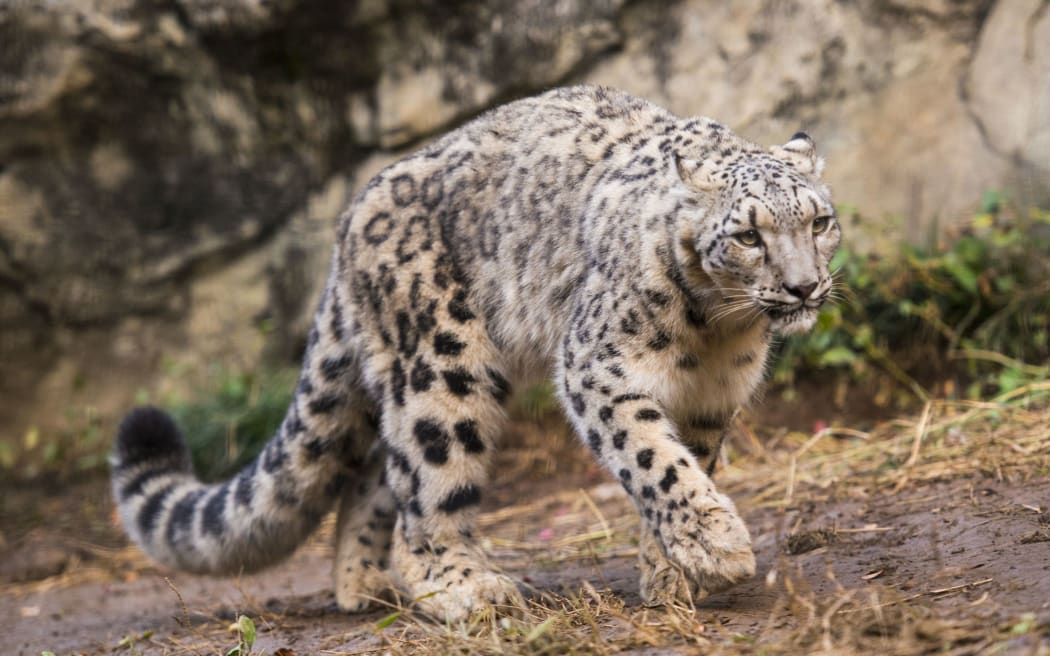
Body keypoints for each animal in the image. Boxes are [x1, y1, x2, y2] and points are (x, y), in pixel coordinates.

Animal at [110, 82, 839, 617]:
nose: (804, 285)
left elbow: (692, 463)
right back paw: (463, 588)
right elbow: (654, 460)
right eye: (748, 235)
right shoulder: (598, 367)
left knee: (378, 475)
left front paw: (673, 575)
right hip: (442, 367)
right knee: (427, 488)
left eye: (820, 221)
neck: (714, 330)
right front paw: (718, 549)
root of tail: (349, 223)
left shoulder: (713, 397)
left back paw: (364, 585)